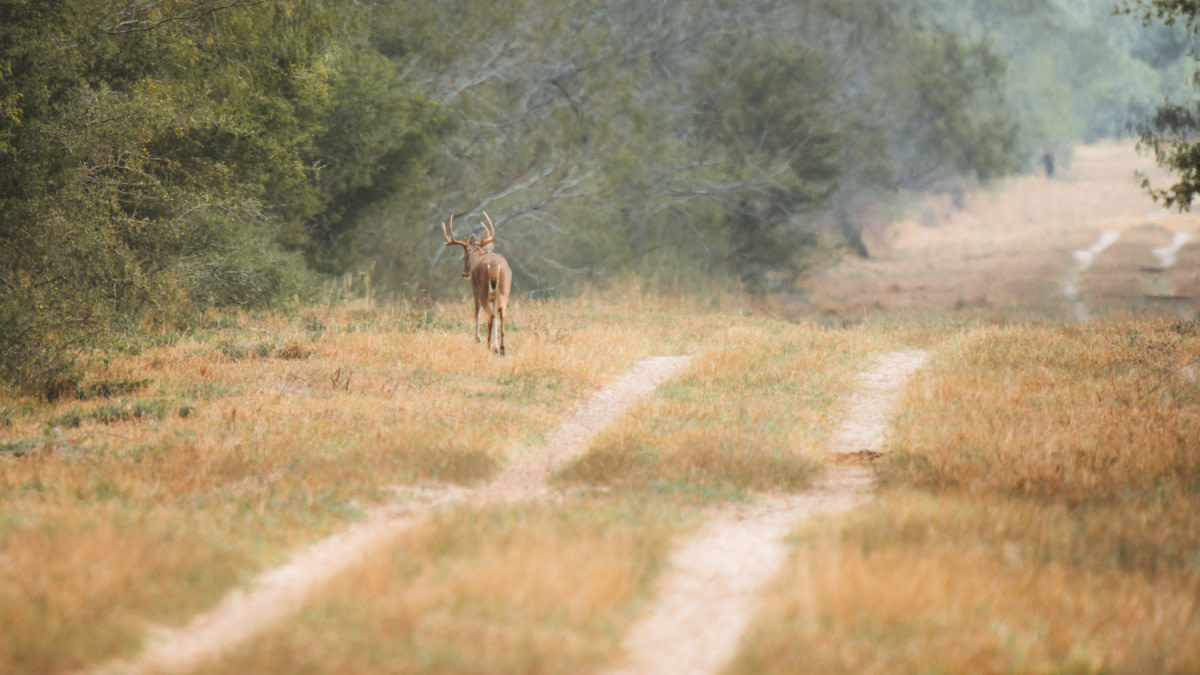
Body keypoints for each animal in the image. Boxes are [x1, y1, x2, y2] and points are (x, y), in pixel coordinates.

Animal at [444, 212, 513, 355]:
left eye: (464, 257)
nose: (464, 273)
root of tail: (494, 266)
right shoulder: (494, 298)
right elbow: (496, 319)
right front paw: (495, 345)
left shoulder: (475, 292)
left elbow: (477, 313)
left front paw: (478, 339)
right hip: (504, 290)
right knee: (501, 314)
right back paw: (502, 348)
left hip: (483, 291)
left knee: (490, 314)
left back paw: (488, 345)